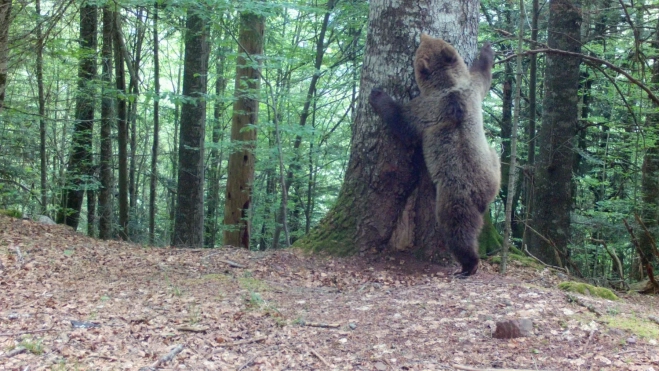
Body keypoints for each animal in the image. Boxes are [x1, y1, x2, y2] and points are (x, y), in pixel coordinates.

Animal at [372, 35, 500, 278]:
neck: (447, 84)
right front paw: (488, 49)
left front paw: (378, 95)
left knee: (458, 229)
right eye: (434, 40)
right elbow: (483, 76)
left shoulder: (427, 109)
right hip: (491, 169)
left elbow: (402, 122)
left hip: (455, 192)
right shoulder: (472, 91)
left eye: (422, 47)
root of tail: (483, 194)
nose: (423, 35)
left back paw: (468, 265)